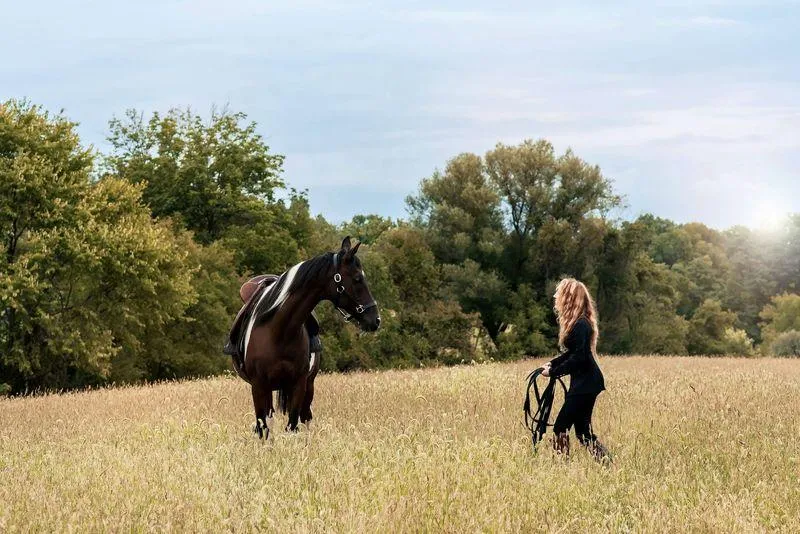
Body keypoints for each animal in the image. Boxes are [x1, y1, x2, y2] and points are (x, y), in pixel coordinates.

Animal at [224, 237, 380, 438]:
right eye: (357, 279)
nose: (375, 320)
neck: (279, 331)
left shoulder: (298, 384)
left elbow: (292, 425)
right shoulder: (258, 386)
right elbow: (262, 427)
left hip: (309, 386)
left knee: (305, 417)